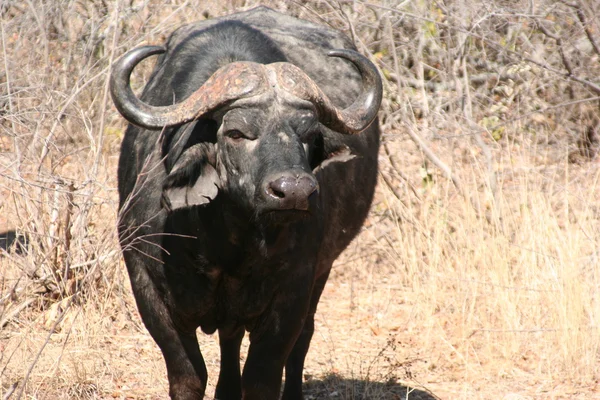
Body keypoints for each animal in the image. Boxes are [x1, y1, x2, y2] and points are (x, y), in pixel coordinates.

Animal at [110, 6, 382, 400]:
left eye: (309, 134)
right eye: (237, 133)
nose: (294, 191)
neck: (225, 240)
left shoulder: (292, 292)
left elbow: (263, 377)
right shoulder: (149, 291)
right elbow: (189, 377)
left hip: (323, 270)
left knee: (302, 339)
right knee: (230, 338)